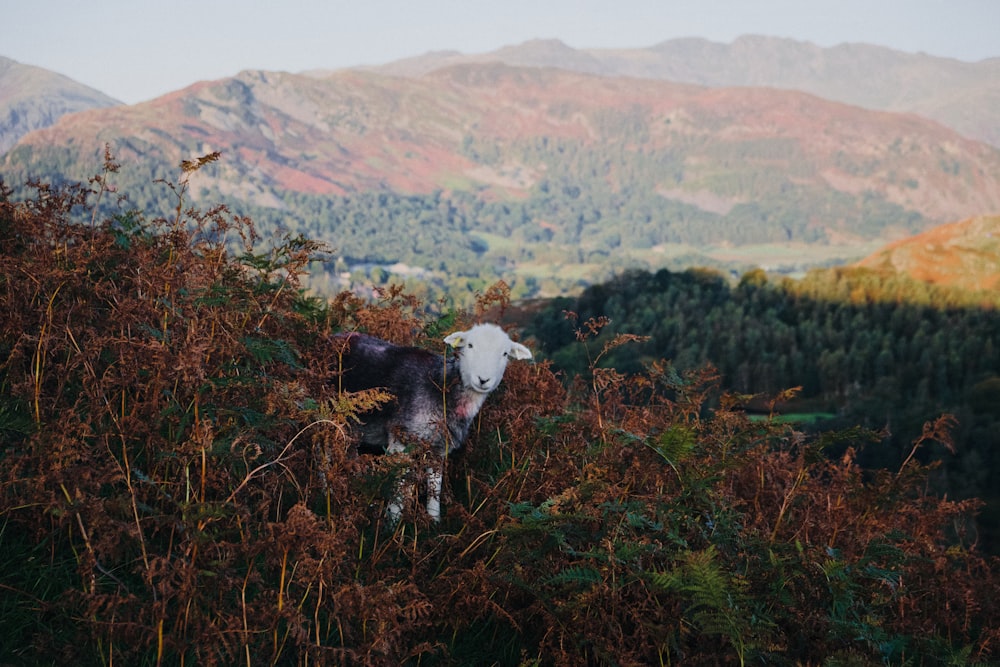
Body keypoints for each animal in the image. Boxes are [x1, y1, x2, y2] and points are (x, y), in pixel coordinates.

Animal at [334, 322, 532, 520]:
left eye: (505, 354)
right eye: (470, 345)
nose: (483, 380)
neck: (442, 388)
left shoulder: (438, 447)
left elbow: (434, 487)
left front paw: (434, 521)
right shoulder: (401, 439)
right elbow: (398, 486)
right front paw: (393, 521)